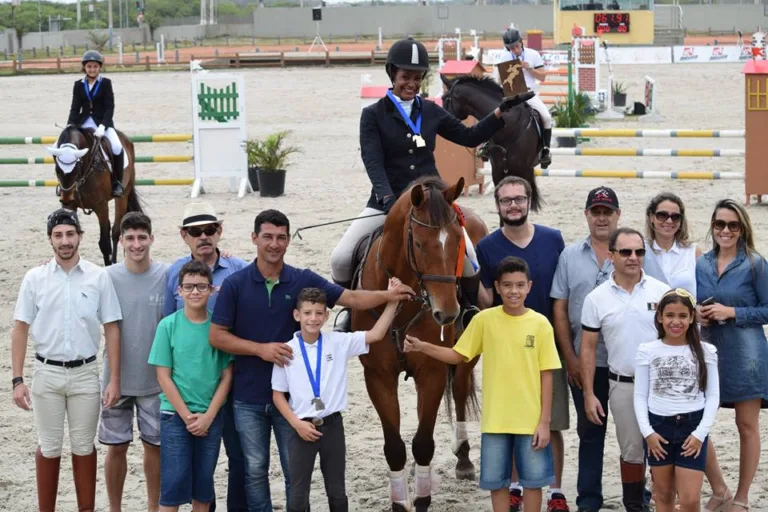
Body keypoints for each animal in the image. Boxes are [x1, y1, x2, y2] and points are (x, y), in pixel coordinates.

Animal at [47, 126, 143, 266]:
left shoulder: (101, 206)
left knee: (115, 232)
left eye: (76, 168)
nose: (65, 198)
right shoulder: (70, 206)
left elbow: (104, 243)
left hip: (123, 196)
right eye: (57, 170)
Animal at [352, 177, 486, 512]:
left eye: (457, 242)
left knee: (461, 389)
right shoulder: (378, 376)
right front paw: (401, 501)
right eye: (419, 244)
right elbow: (395, 447)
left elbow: (424, 443)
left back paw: (463, 459)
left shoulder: (432, 371)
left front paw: (422, 499)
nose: (447, 313)